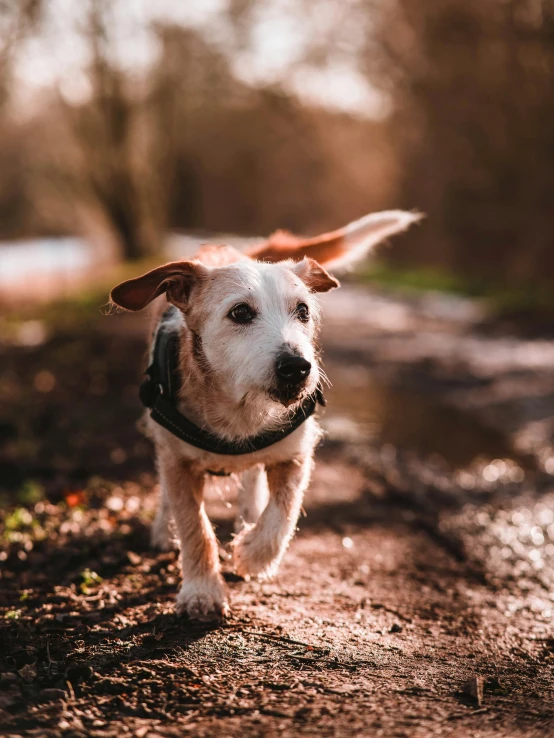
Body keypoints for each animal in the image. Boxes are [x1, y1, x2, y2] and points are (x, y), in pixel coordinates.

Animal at [110, 210, 416, 620]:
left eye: (303, 311)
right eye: (240, 312)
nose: (297, 368)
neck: (240, 409)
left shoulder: (296, 454)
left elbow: (284, 512)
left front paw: (253, 553)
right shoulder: (177, 460)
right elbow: (194, 526)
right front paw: (202, 591)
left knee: (254, 480)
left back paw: (249, 515)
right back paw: (164, 528)